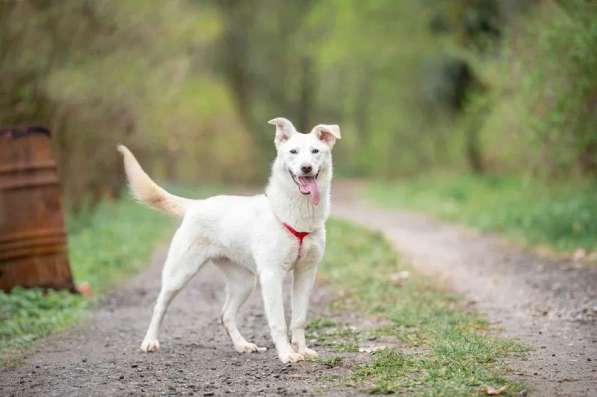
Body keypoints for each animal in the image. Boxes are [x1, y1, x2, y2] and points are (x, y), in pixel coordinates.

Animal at [117, 117, 340, 362]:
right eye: (293, 152)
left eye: (315, 151)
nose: (306, 168)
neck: (297, 213)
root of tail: (196, 204)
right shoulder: (272, 275)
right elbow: (279, 322)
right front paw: (287, 354)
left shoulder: (306, 272)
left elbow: (299, 319)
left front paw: (301, 349)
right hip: (180, 273)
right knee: (159, 306)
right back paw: (150, 341)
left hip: (244, 282)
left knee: (226, 315)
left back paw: (242, 345)